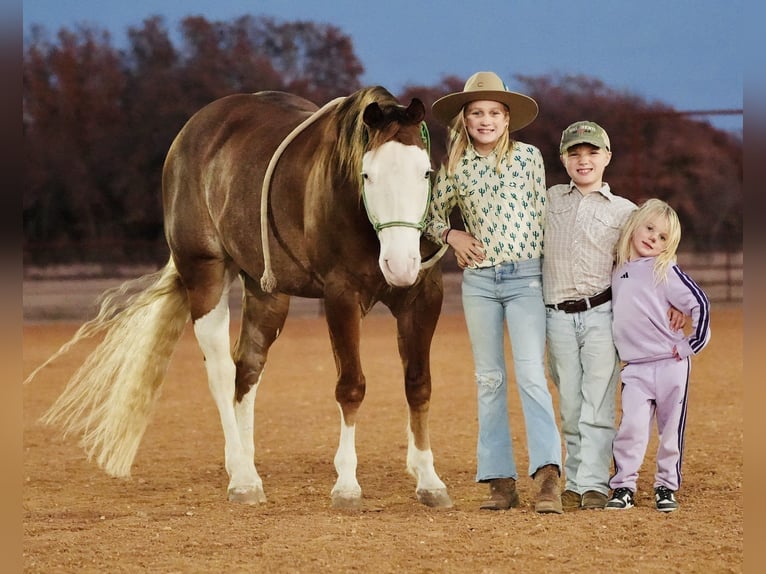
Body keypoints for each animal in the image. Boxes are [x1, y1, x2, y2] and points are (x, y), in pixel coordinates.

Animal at [25, 86, 453, 509]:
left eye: (426, 173)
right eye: (367, 174)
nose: (400, 264)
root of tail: (193, 131)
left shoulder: (423, 298)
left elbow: (419, 384)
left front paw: (428, 479)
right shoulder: (341, 298)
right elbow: (351, 387)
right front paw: (346, 485)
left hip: (266, 290)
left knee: (247, 368)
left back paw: (246, 462)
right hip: (206, 276)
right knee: (221, 371)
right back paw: (243, 479)